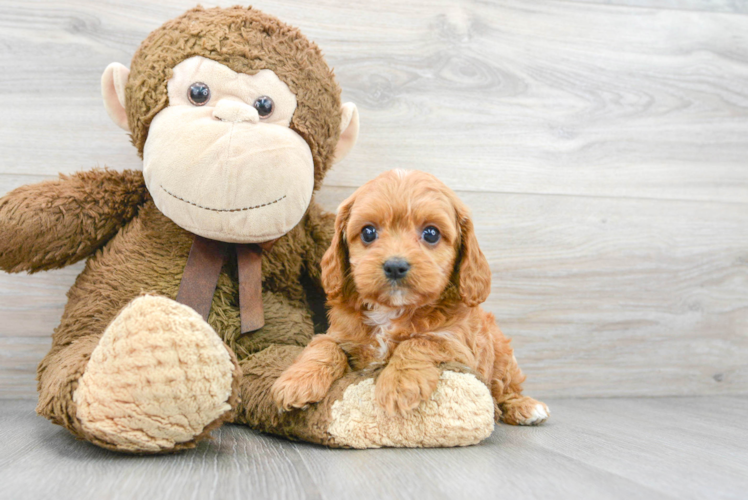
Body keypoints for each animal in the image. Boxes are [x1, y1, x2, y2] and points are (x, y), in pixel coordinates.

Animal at [270, 170, 548, 424]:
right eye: (368, 232)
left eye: (431, 233)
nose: (395, 266)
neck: (391, 310)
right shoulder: (339, 334)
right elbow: (324, 345)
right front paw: (296, 382)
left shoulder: (458, 346)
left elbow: (419, 342)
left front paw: (398, 385)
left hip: (502, 357)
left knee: (504, 388)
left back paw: (526, 407)